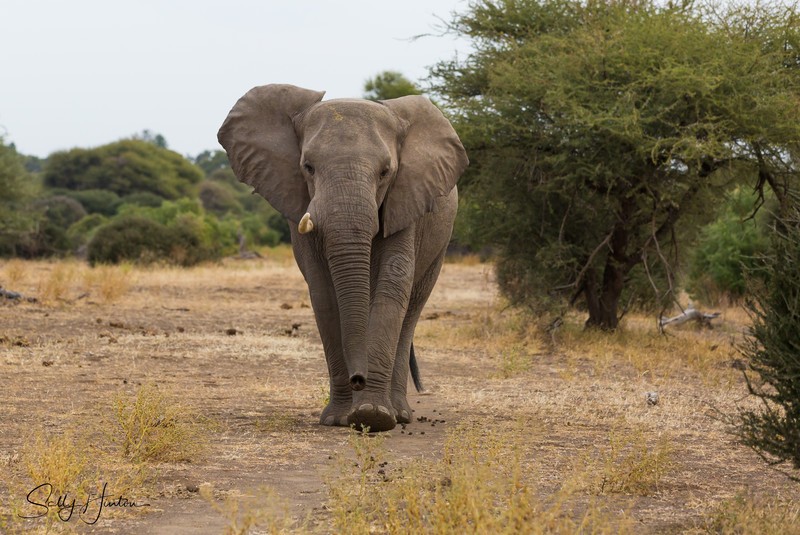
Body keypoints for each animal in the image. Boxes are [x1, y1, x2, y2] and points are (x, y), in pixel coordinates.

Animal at [218, 84, 468, 432]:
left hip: (440, 244)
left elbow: (392, 287)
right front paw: (339, 418)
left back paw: (400, 414)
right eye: (308, 167)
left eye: (386, 172)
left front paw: (374, 416)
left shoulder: (406, 200)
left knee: (411, 310)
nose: (358, 378)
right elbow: (323, 293)